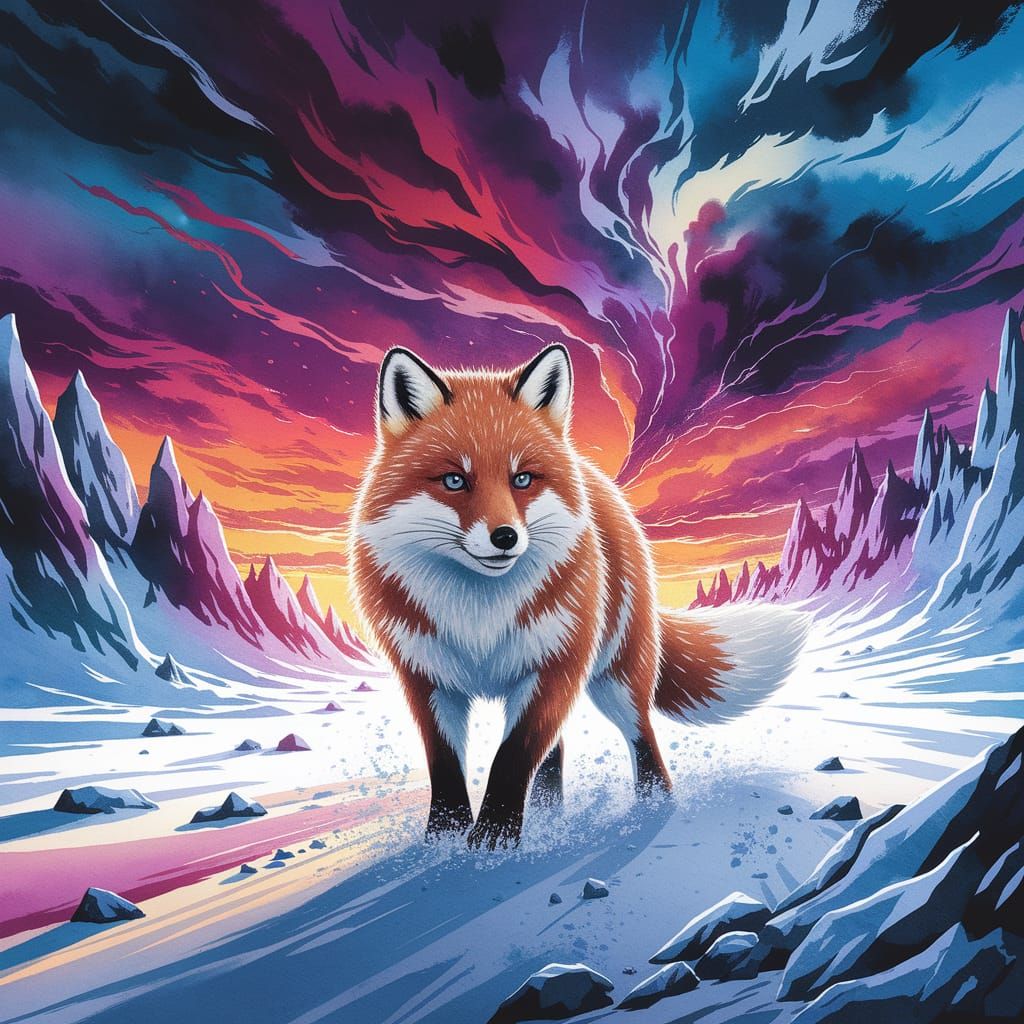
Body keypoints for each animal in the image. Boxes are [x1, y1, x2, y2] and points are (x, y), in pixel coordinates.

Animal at [349, 344, 807, 849]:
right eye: (454, 481)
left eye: (522, 479)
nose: (505, 537)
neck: (478, 617)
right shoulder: (426, 676)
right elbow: (447, 766)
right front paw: (444, 838)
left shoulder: (554, 666)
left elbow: (511, 759)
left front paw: (493, 839)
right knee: (557, 750)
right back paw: (550, 811)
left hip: (616, 680)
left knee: (642, 740)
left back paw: (652, 809)